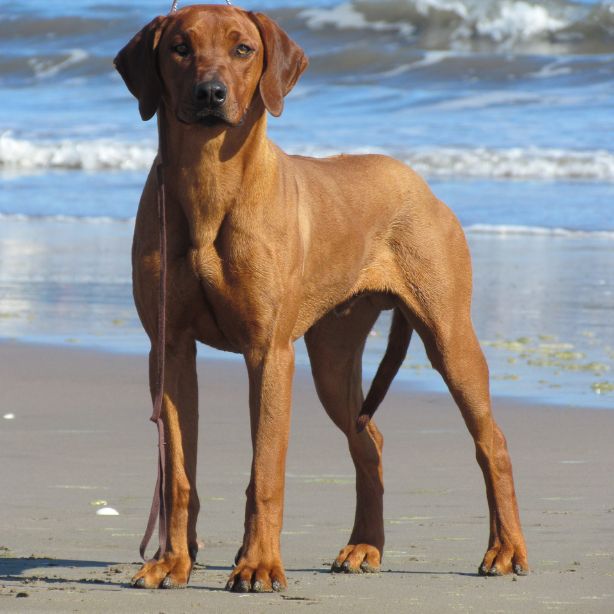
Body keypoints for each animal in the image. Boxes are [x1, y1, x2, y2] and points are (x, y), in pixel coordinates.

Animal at [115, 2, 528, 596]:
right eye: (180, 48)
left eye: (243, 48)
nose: (210, 93)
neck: (209, 180)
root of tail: (419, 183)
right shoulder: (168, 348)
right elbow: (177, 472)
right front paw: (173, 560)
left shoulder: (269, 353)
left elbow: (265, 470)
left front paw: (259, 566)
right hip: (333, 359)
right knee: (368, 440)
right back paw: (365, 546)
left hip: (449, 336)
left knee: (490, 441)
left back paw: (506, 548)